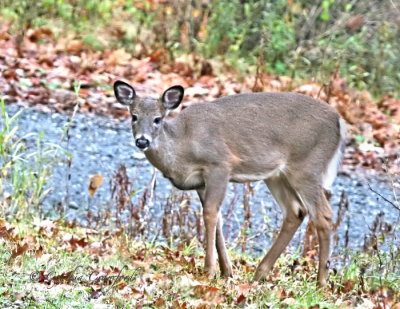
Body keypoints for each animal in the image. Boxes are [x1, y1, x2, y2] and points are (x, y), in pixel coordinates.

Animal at [114, 80, 346, 286]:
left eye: (157, 119)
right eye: (134, 116)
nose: (142, 141)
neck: (183, 145)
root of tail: (339, 122)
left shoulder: (220, 163)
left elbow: (210, 214)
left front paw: (209, 270)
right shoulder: (200, 183)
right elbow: (216, 219)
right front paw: (227, 272)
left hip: (307, 166)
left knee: (323, 215)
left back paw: (321, 282)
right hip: (277, 175)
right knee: (295, 211)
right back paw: (260, 274)